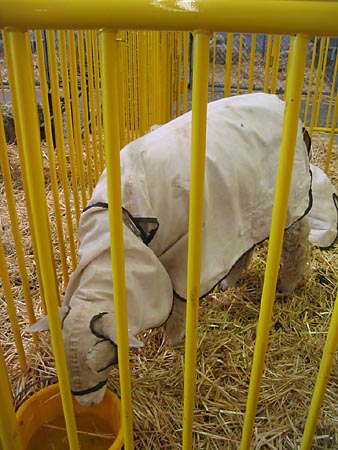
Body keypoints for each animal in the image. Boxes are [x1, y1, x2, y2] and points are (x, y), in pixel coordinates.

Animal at [27, 93, 338, 406]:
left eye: (104, 363)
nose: (87, 404)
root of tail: (278, 100)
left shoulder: (186, 248)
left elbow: (178, 298)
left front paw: (173, 339)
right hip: (245, 205)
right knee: (246, 243)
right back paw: (230, 279)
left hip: (289, 199)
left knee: (297, 239)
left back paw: (288, 284)